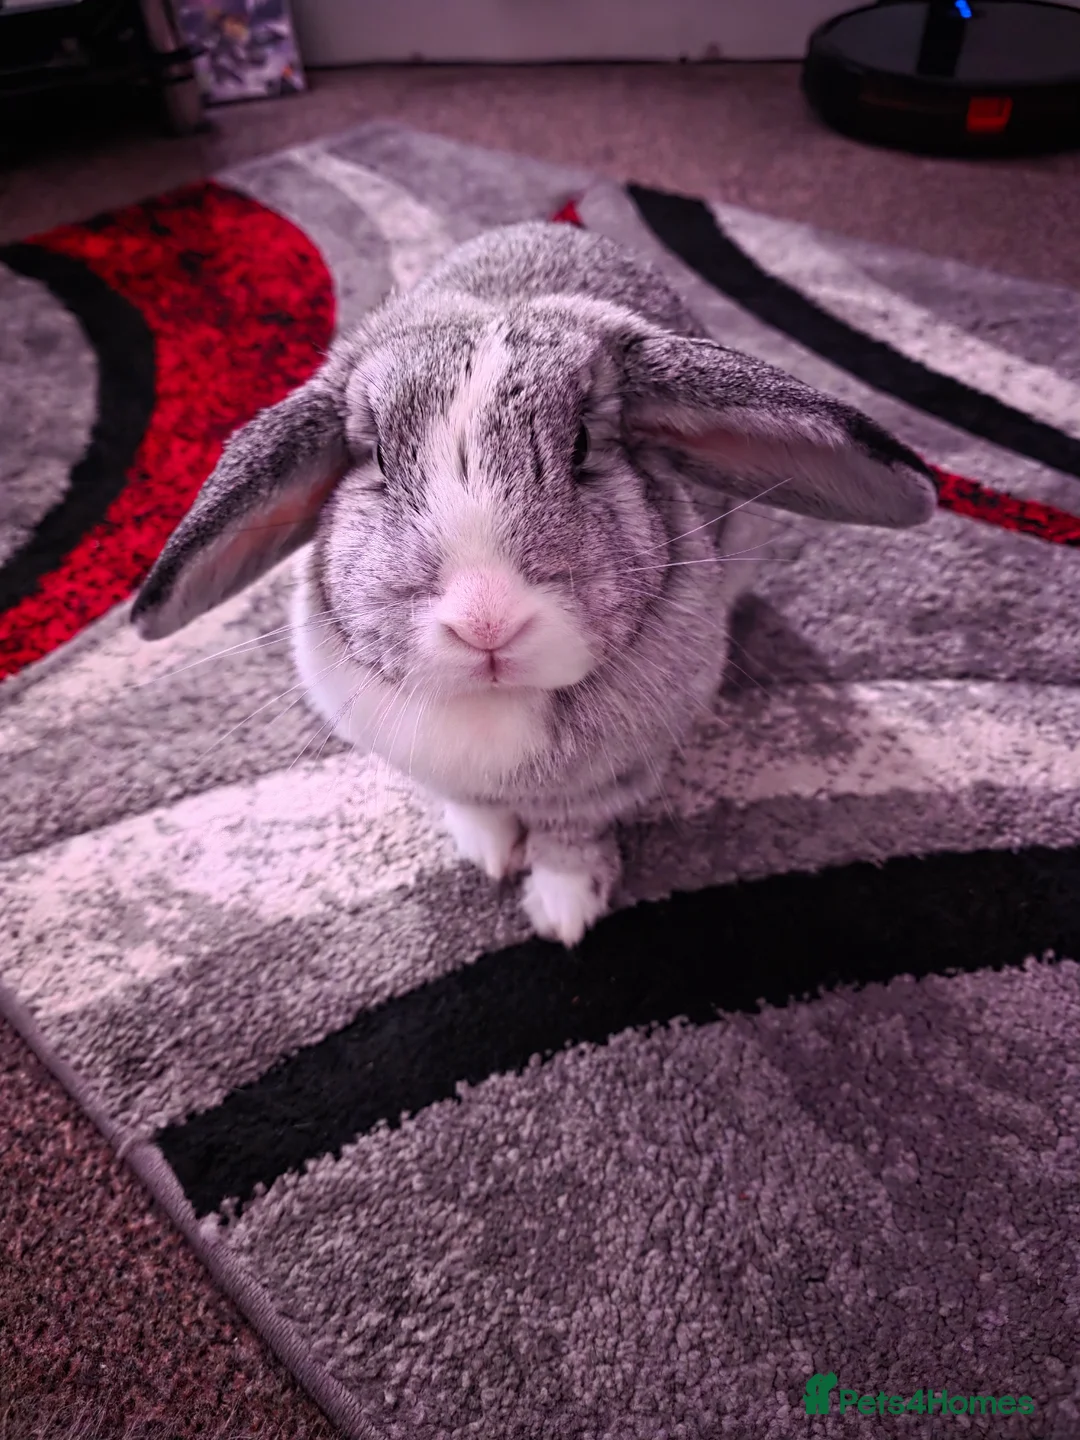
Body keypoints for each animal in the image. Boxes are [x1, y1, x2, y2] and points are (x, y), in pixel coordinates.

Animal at [132, 220, 936, 947]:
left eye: (580, 448)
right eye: (381, 463)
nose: (486, 623)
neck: (498, 703)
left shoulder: (603, 786)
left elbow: (569, 840)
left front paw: (562, 912)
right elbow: (471, 805)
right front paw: (488, 853)